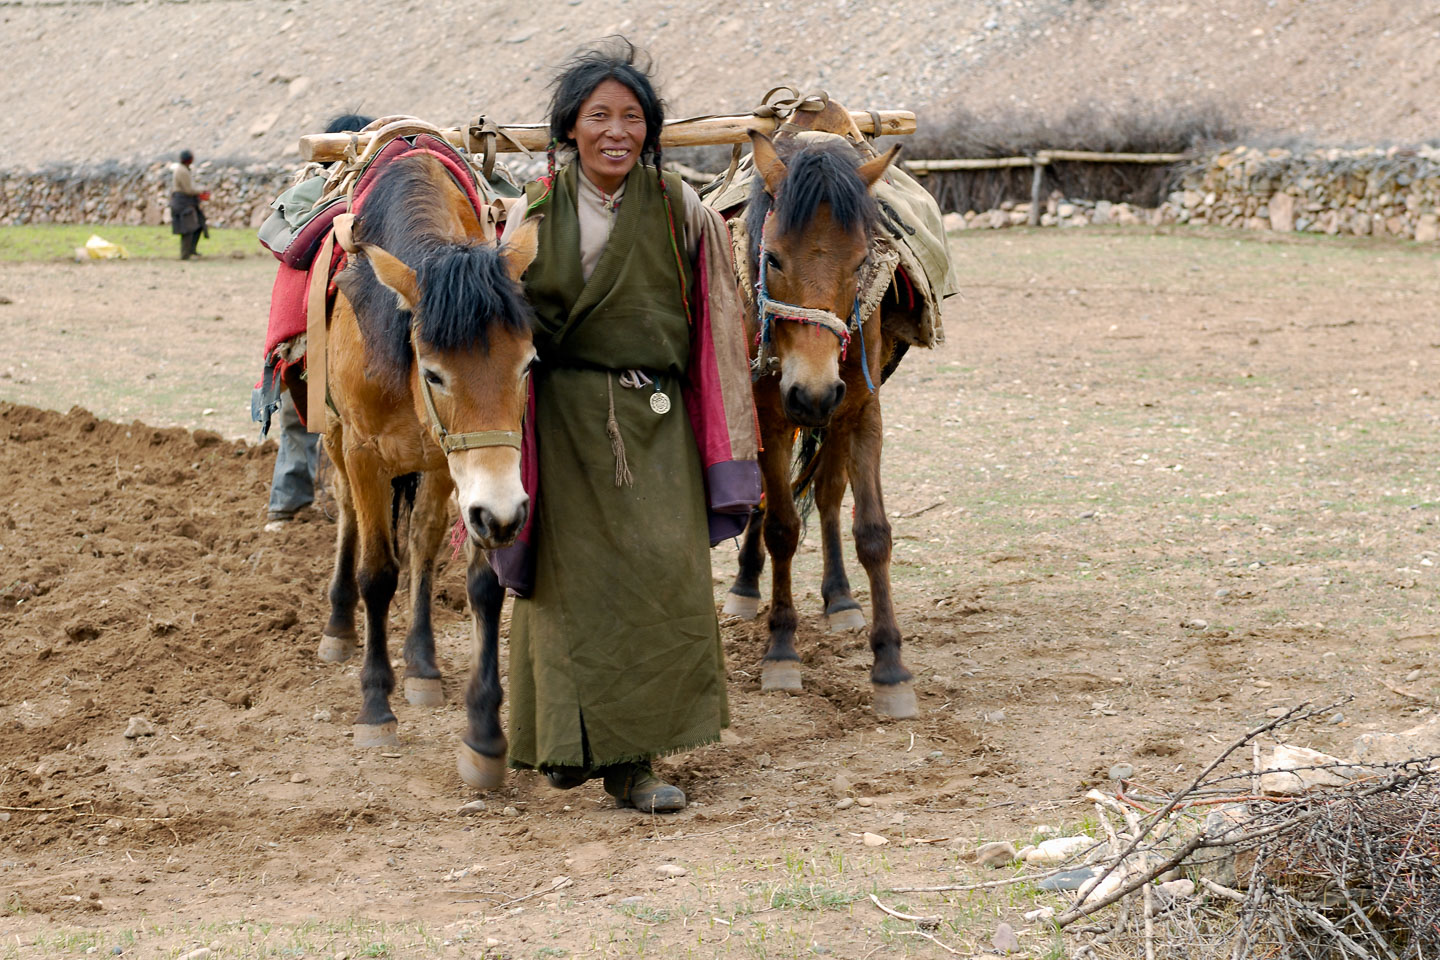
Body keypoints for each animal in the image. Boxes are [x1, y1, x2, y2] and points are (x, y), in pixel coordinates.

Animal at [319, 151, 541, 788]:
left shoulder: (468, 477)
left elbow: (482, 585)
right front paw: (375, 706)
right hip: (335, 438)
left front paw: (485, 735)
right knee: (349, 515)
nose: (504, 514)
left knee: (421, 539)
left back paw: (421, 664)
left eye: (528, 364)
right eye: (435, 373)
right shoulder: (365, 452)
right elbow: (377, 573)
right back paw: (339, 627)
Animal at [714, 123, 915, 716]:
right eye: (774, 258)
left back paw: (841, 597)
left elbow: (872, 531)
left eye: (860, 262)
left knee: (827, 494)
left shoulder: (863, 411)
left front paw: (890, 667)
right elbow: (781, 527)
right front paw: (781, 651)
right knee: (764, 501)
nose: (812, 392)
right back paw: (745, 588)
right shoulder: (770, 418)